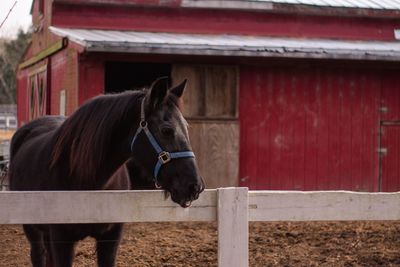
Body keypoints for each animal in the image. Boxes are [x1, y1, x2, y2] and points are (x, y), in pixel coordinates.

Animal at [8, 77, 205, 267]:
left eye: (186, 128)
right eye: (166, 130)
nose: (194, 186)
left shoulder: (111, 237)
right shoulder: (62, 240)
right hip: (32, 227)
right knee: (38, 255)